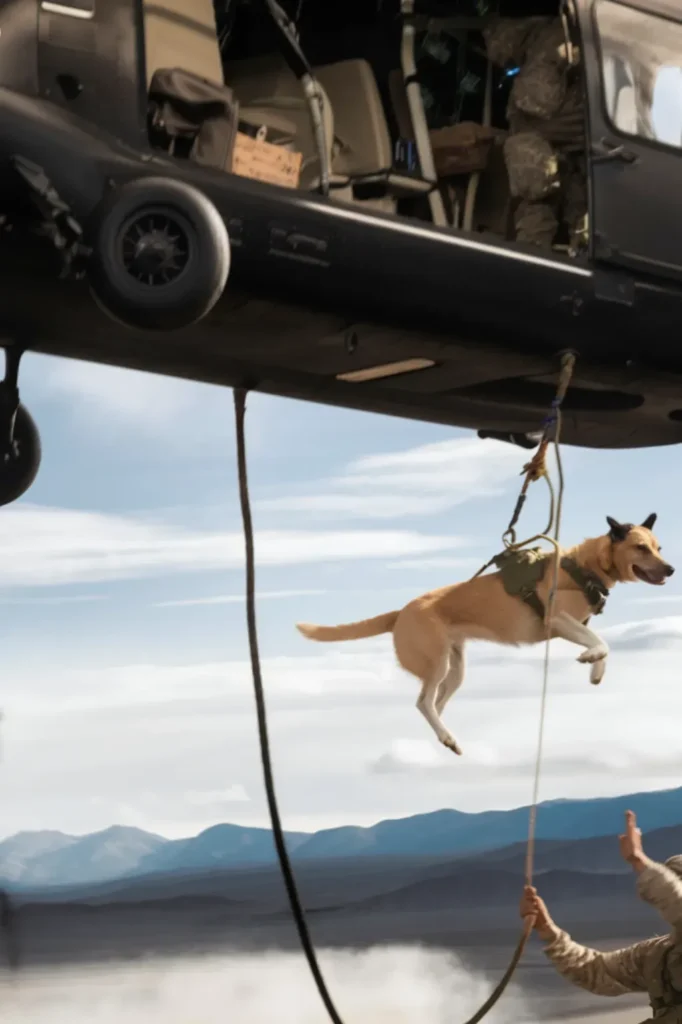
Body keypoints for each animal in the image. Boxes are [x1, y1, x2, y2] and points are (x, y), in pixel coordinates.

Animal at [296, 516, 667, 757]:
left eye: (658, 547)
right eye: (640, 548)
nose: (671, 569)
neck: (584, 567)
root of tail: (400, 612)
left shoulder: (571, 625)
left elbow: (599, 644)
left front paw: (595, 669)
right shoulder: (557, 620)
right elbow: (601, 643)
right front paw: (592, 657)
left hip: (456, 669)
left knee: (434, 705)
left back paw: (446, 737)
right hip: (437, 663)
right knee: (423, 702)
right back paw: (447, 736)